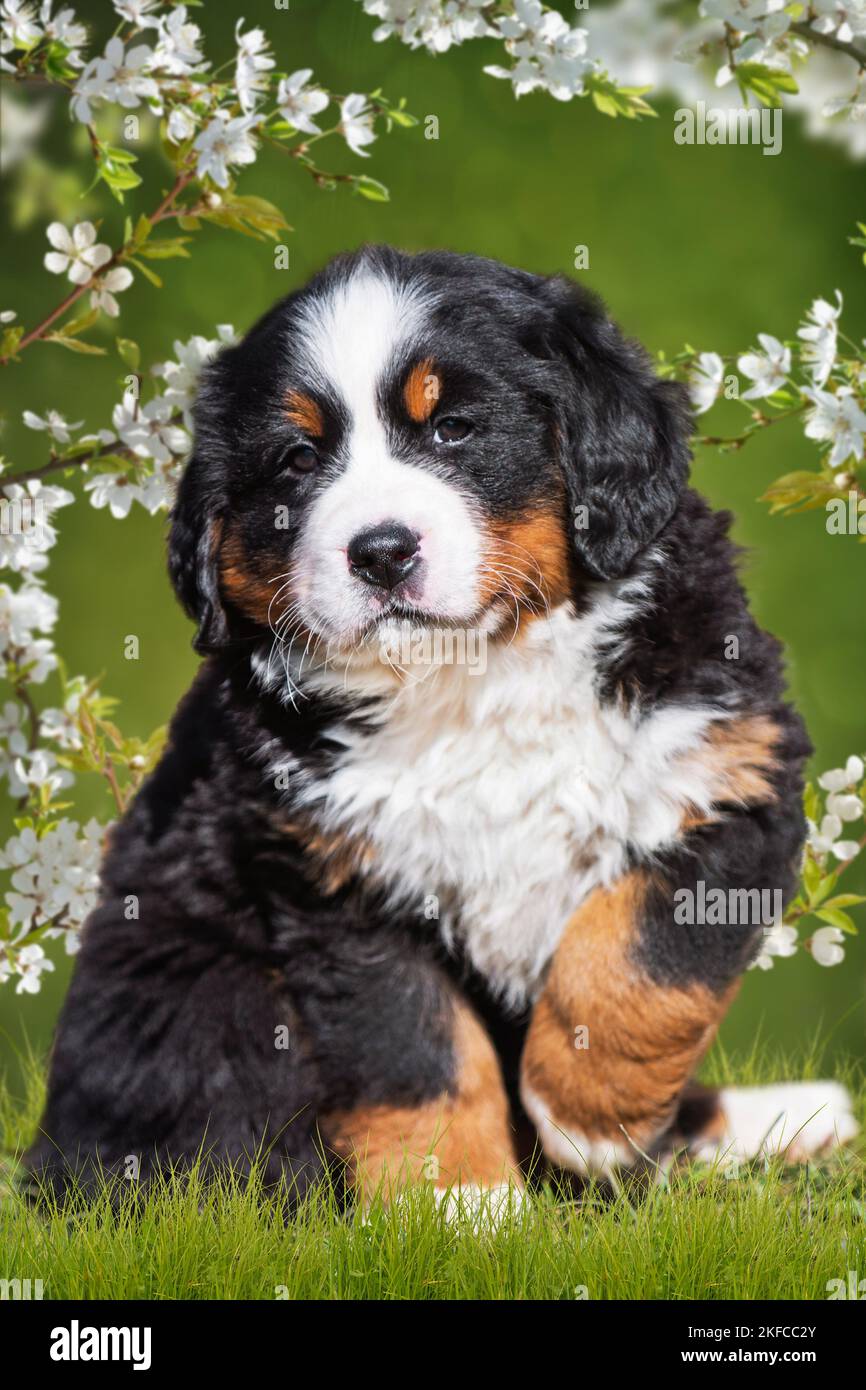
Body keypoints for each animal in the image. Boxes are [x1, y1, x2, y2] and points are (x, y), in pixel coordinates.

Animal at [25, 250, 856, 1206]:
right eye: (298, 459)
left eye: (455, 429)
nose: (381, 551)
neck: (470, 681)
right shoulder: (335, 881)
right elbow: (417, 1047)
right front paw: (462, 1206)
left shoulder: (728, 771)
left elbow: (642, 953)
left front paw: (589, 1116)